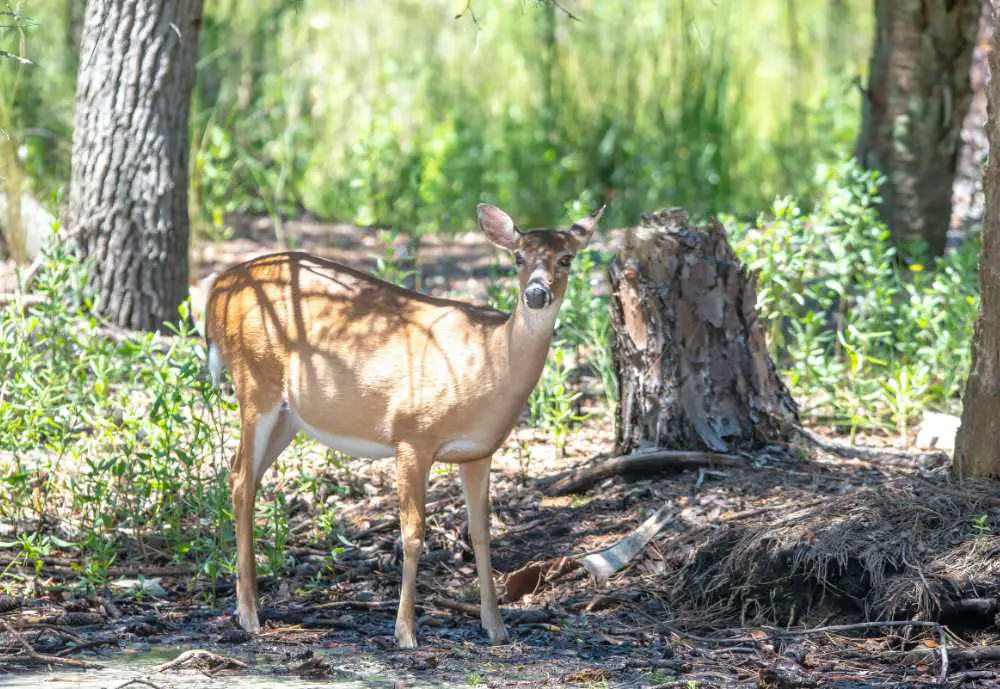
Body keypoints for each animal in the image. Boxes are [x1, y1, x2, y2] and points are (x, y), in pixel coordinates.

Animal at [205, 202, 600, 648]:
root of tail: (218, 286)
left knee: (243, 476)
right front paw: (405, 631)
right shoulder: (412, 434)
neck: (489, 360)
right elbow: (412, 533)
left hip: (289, 415)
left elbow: (481, 532)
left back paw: (252, 604)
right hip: (256, 381)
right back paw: (248, 614)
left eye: (566, 258)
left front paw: (496, 626)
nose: (535, 294)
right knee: (240, 477)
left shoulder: (479, 451)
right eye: (518, 257)